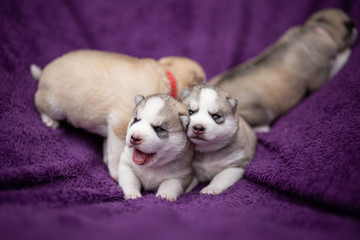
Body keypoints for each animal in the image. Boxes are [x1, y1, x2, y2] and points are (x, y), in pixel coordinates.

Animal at [30, 49, 205, 180]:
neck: (168, 75)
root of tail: (42, 74)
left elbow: (109, 145)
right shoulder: (119, 125)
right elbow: (117, 151)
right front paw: (115, 171)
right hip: (53, 105)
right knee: (39, 104)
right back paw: (49, 120)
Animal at [211, 8, 358, 129]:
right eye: (350, 24)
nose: (355, 27)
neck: (316, 28)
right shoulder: (320, 76)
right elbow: (335, 65)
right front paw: (345, 54)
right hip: (261, 112)